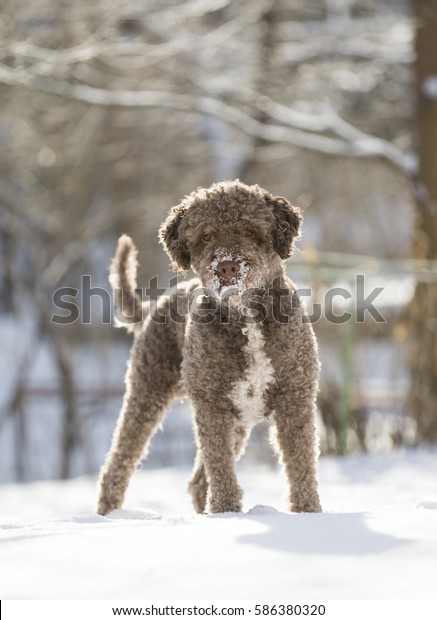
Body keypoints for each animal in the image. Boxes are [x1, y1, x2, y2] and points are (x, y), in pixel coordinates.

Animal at [96, 180, 320, 520]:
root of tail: (154, 305)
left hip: (235, 419)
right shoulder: (211, 406)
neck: (246, 317)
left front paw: (309, 514)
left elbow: (301, 467)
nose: (227, 266)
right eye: (206, 236)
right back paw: (108, 515)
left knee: (198, 482)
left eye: (250, 231)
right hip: (147, 392)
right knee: (119, 463)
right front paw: (226, 512)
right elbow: (221, 470)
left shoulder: (295, 399)